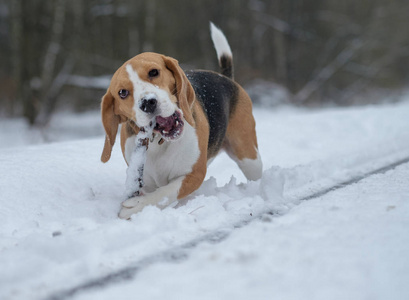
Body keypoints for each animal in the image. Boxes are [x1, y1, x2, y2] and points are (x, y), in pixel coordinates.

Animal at [100, 22, 262, 218]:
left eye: (154, 72)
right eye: (123, 92)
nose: (147, 103)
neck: (159, 142)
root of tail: (226, 78)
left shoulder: (194, 174)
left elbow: (165, 192)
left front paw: (136, 206)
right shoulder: (146, 180)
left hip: (249, 158)